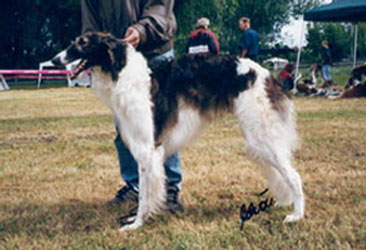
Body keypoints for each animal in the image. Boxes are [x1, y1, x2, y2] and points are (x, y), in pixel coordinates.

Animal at [50, 32, 304, 231]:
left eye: (82, 42)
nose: (54, 59)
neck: (122, 72)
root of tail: (266, 75)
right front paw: (138, 219)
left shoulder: (148, 147)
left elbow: (144, 194)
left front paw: (136, 224)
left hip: (260, 136)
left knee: (295, 176)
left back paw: (296, 215)